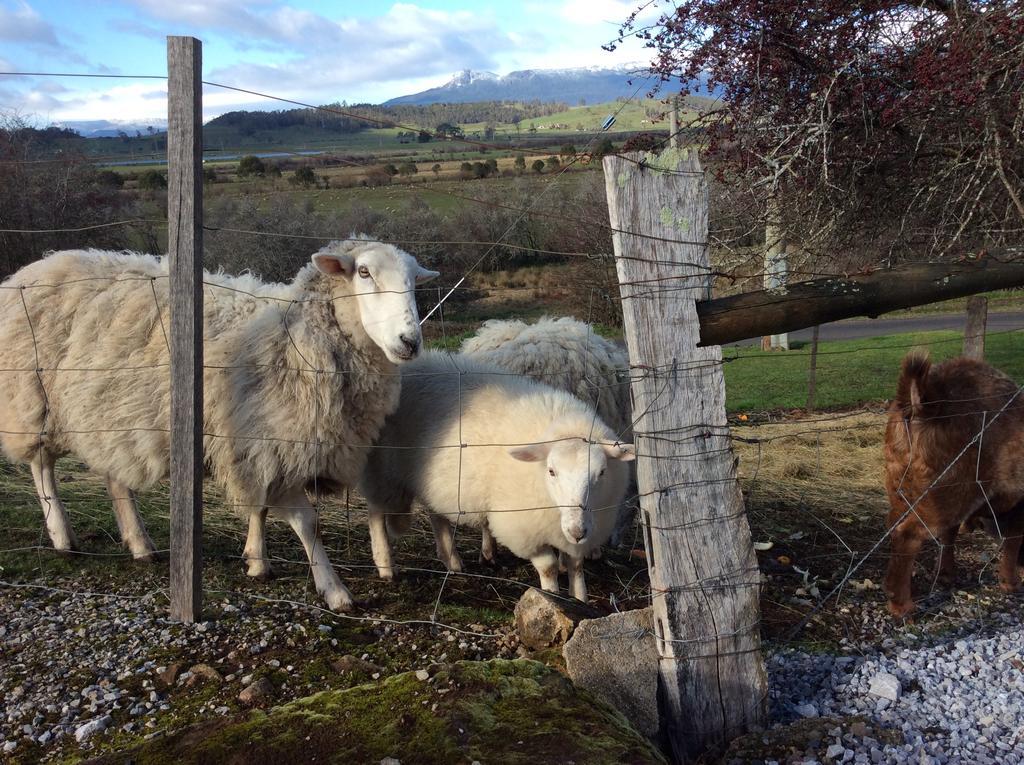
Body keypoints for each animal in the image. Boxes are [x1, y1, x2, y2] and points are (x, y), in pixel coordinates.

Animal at [0, 236, 436, 614]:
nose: (409, 342)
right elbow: (307, 523)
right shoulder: (268, 442)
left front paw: (256, 560)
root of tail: (36, 266)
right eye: (363, 272)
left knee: (115, 477)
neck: (297, 339)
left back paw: (140, 544)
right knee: (42, 466)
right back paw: (62, 536)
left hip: (111, 411)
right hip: (33, 400)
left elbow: (259, 506)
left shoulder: (253, 445)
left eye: (414, 281)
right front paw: (334, 590)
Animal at [360, 350, 630, 602]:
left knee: (436, 513)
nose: (577, 530)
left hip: (431, 479)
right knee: (376, 513)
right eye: (551, 471)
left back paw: (452, 560)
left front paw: (580, 600)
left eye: (602, 472)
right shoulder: (521, 527)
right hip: (382, 470)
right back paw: (385, 565)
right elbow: (549, 567)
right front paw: (552, 597)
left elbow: (576, 566)